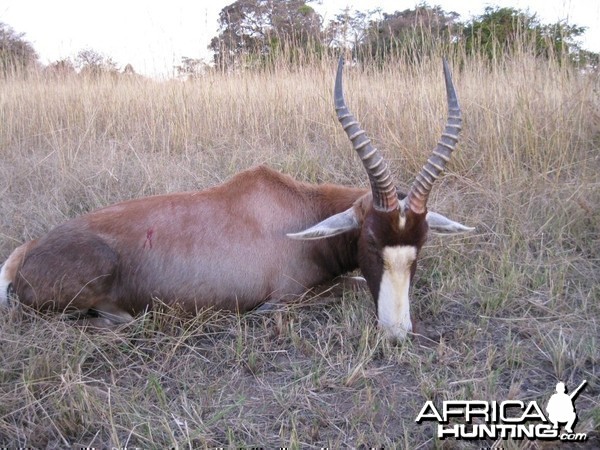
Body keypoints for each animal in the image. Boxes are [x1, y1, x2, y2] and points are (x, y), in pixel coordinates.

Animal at [2, 60, 476, 342]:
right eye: (372, 243)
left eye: (420, 247)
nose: (397, 333)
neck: (296, 209)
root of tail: (25, 254)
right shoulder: (286, 298)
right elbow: (349, 284)